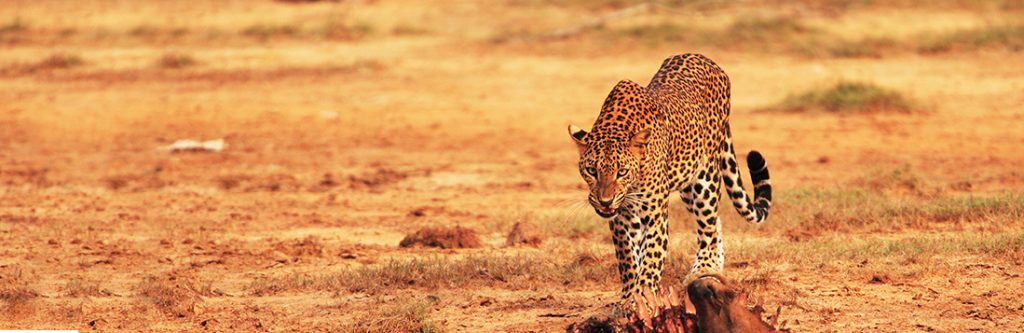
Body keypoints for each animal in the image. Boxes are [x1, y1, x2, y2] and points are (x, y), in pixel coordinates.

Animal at [565, 53, 770, 305]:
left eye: (621, 171)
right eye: (591, 170)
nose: (604, 201)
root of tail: (705, 58)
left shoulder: (654, 214)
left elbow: (651, 259)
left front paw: (642, 298)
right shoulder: (622, 218)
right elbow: (628, 260)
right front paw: (627, 297)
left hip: (704, 178)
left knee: (709, 224)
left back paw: (705, 268)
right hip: (686, 186)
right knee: (716, 221)